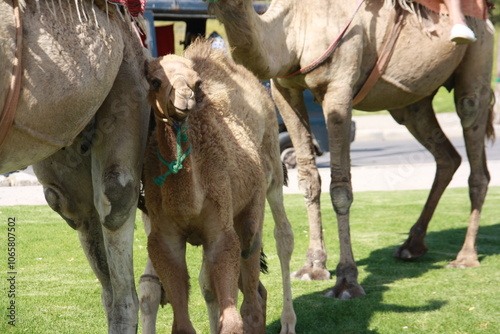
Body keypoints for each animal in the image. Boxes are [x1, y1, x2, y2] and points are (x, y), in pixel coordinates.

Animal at [140, 39, 296, 334]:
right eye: (155, 81)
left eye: (197, 82)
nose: (185, 98)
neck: (188, 203)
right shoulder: (164, 239)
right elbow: (182, 323)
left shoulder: (221, 233)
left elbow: (233, 319)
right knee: (254, 292)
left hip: (265, 185)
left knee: (272, 250)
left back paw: (287, 323)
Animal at [209, 0, 494, 298]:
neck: (296, 25)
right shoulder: (284, 88)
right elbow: (308, 180)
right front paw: (313, 266)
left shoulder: (340, 87)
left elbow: (340, 188)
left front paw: (346, 280)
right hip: (411, 103)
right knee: (447, 156)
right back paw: (411, 246)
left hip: (479, 58)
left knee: (472, 126)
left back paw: (465, 256)